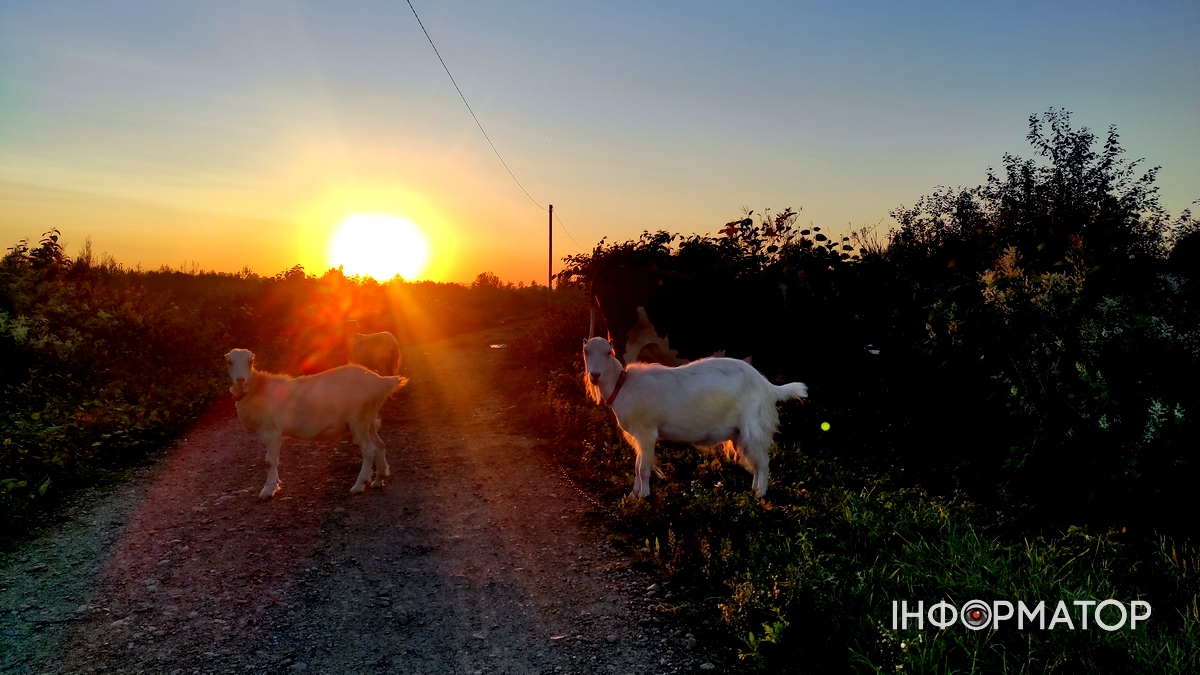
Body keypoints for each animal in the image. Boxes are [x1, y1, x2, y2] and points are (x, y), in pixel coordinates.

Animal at [225, 348, 408, 497]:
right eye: (229, 362)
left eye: (250, 361)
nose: (240, 380)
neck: (256, 389)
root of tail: (381, 382)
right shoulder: (275, 436)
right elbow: (274, 460)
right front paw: (276, 484)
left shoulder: (272, 432)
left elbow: (269, 461)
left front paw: (268, 490)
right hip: (369, 419)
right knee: (380, 445)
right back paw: (378, 479)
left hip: (359, 420)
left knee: (369, 450)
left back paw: (359, 485)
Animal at [580, 333, 806, 497]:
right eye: (586, 351)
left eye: (609, 352)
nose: (595, 375)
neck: (622, 386)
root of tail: (768, 387)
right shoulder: (639, 436)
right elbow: (636, 467)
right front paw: (633, 495)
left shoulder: (647, 433)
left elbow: (643, 469)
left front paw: (644, 497)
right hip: (744, 433)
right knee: (758, 463)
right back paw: (754, 491)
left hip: (755, 426)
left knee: (763, 463)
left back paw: (760, 495)